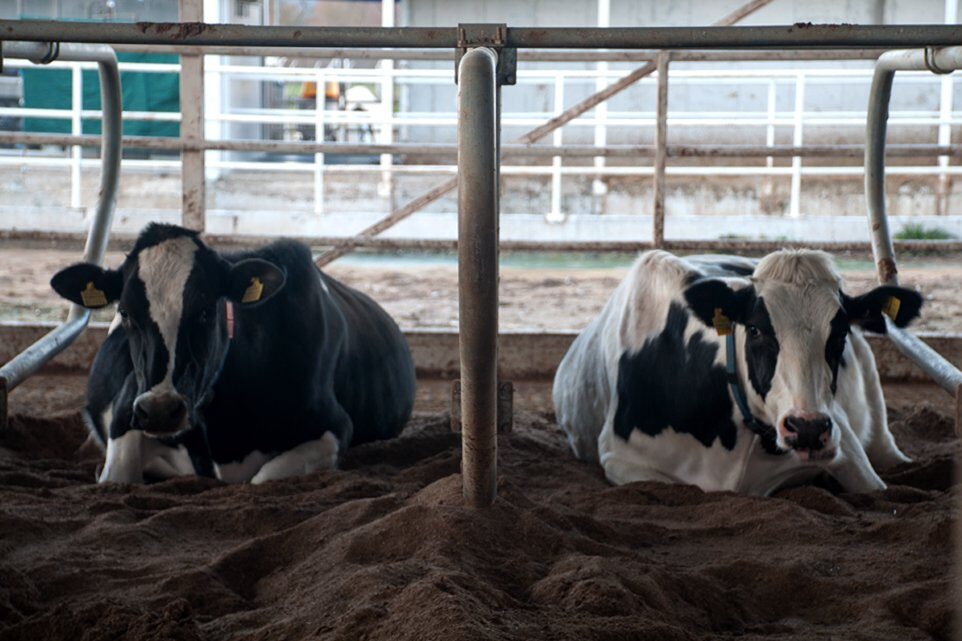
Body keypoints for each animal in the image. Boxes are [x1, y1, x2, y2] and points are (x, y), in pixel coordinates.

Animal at [50, 223, 416, 484]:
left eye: (205, 310)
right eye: (125, 313)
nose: (160, 410)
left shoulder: (335, 427)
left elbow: (262, 479)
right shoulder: (129, 408)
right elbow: (116, 476)